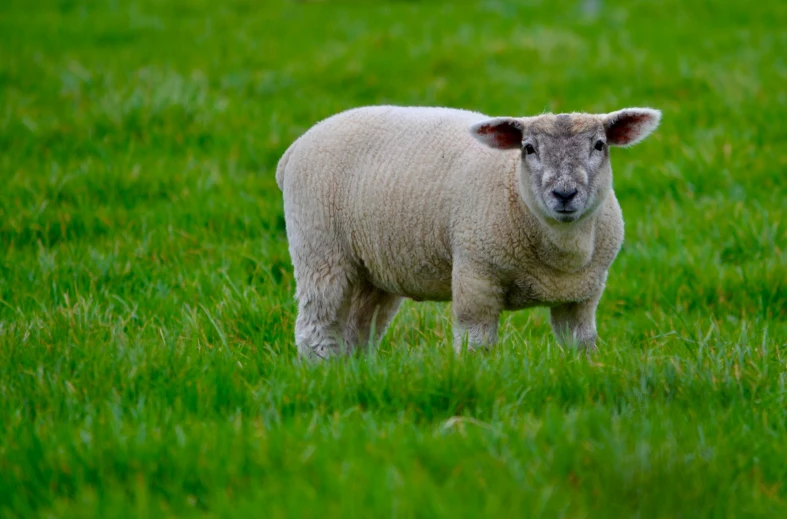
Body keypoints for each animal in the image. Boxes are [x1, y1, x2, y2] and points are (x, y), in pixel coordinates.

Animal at [274, 103, 660, 360]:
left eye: (599, 145)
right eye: (528, 148)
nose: (564, 194)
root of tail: (295, 147)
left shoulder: (582, 295)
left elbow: (581, 344)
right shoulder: (477, 276)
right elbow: (478, 343)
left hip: (372, 267)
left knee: (360, 329)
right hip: (320, 251)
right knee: (316, 328)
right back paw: (321, 371)